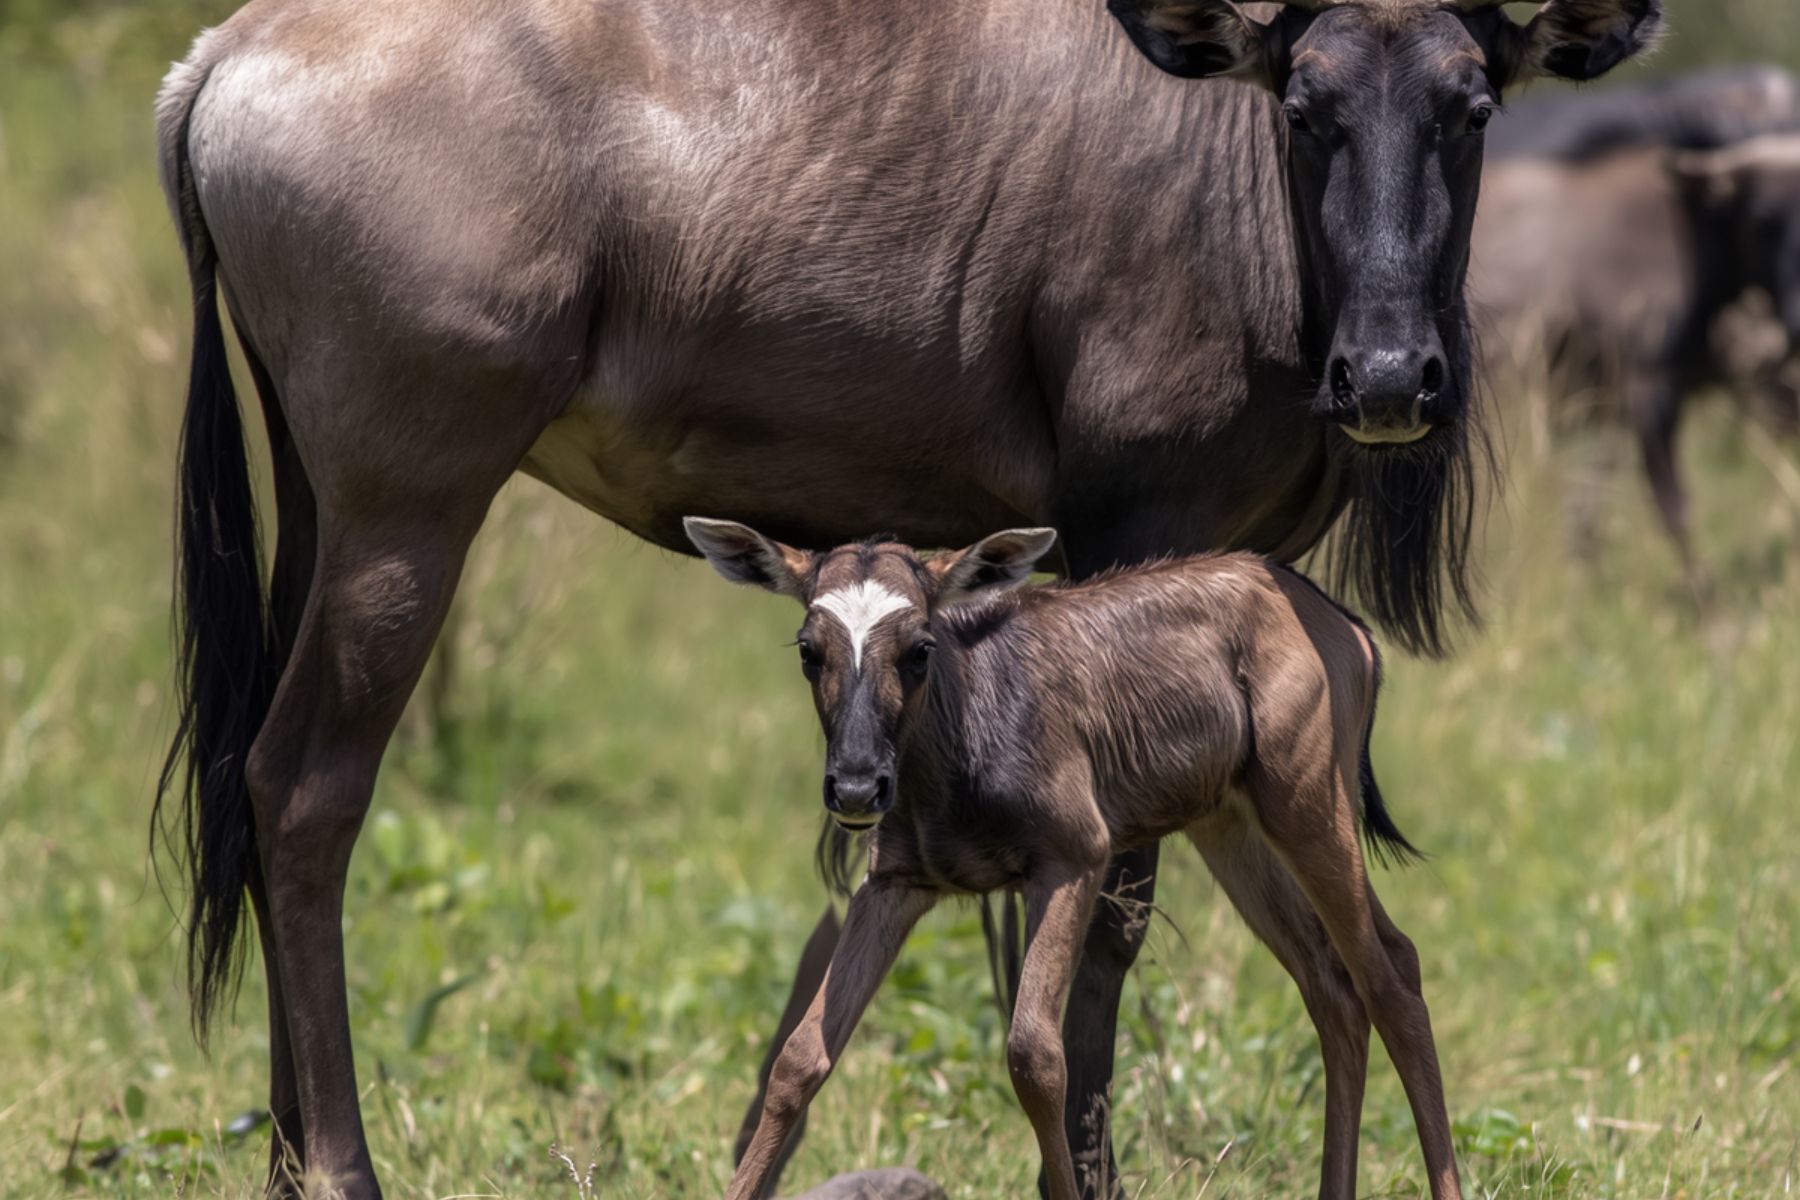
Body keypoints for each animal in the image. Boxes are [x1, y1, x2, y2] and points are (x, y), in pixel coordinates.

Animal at [686, 518, 1458, 1200]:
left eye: (920, 646)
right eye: (808, 648)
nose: (854, 786)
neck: (962, 740)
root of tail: (1347, 627)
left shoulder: (1074, 859)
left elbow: (1035, 1057)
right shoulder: (894, 885)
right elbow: (798, 1057)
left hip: (1308, 805)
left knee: (1392, 970)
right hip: (1232, 829)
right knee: (1331, 985)